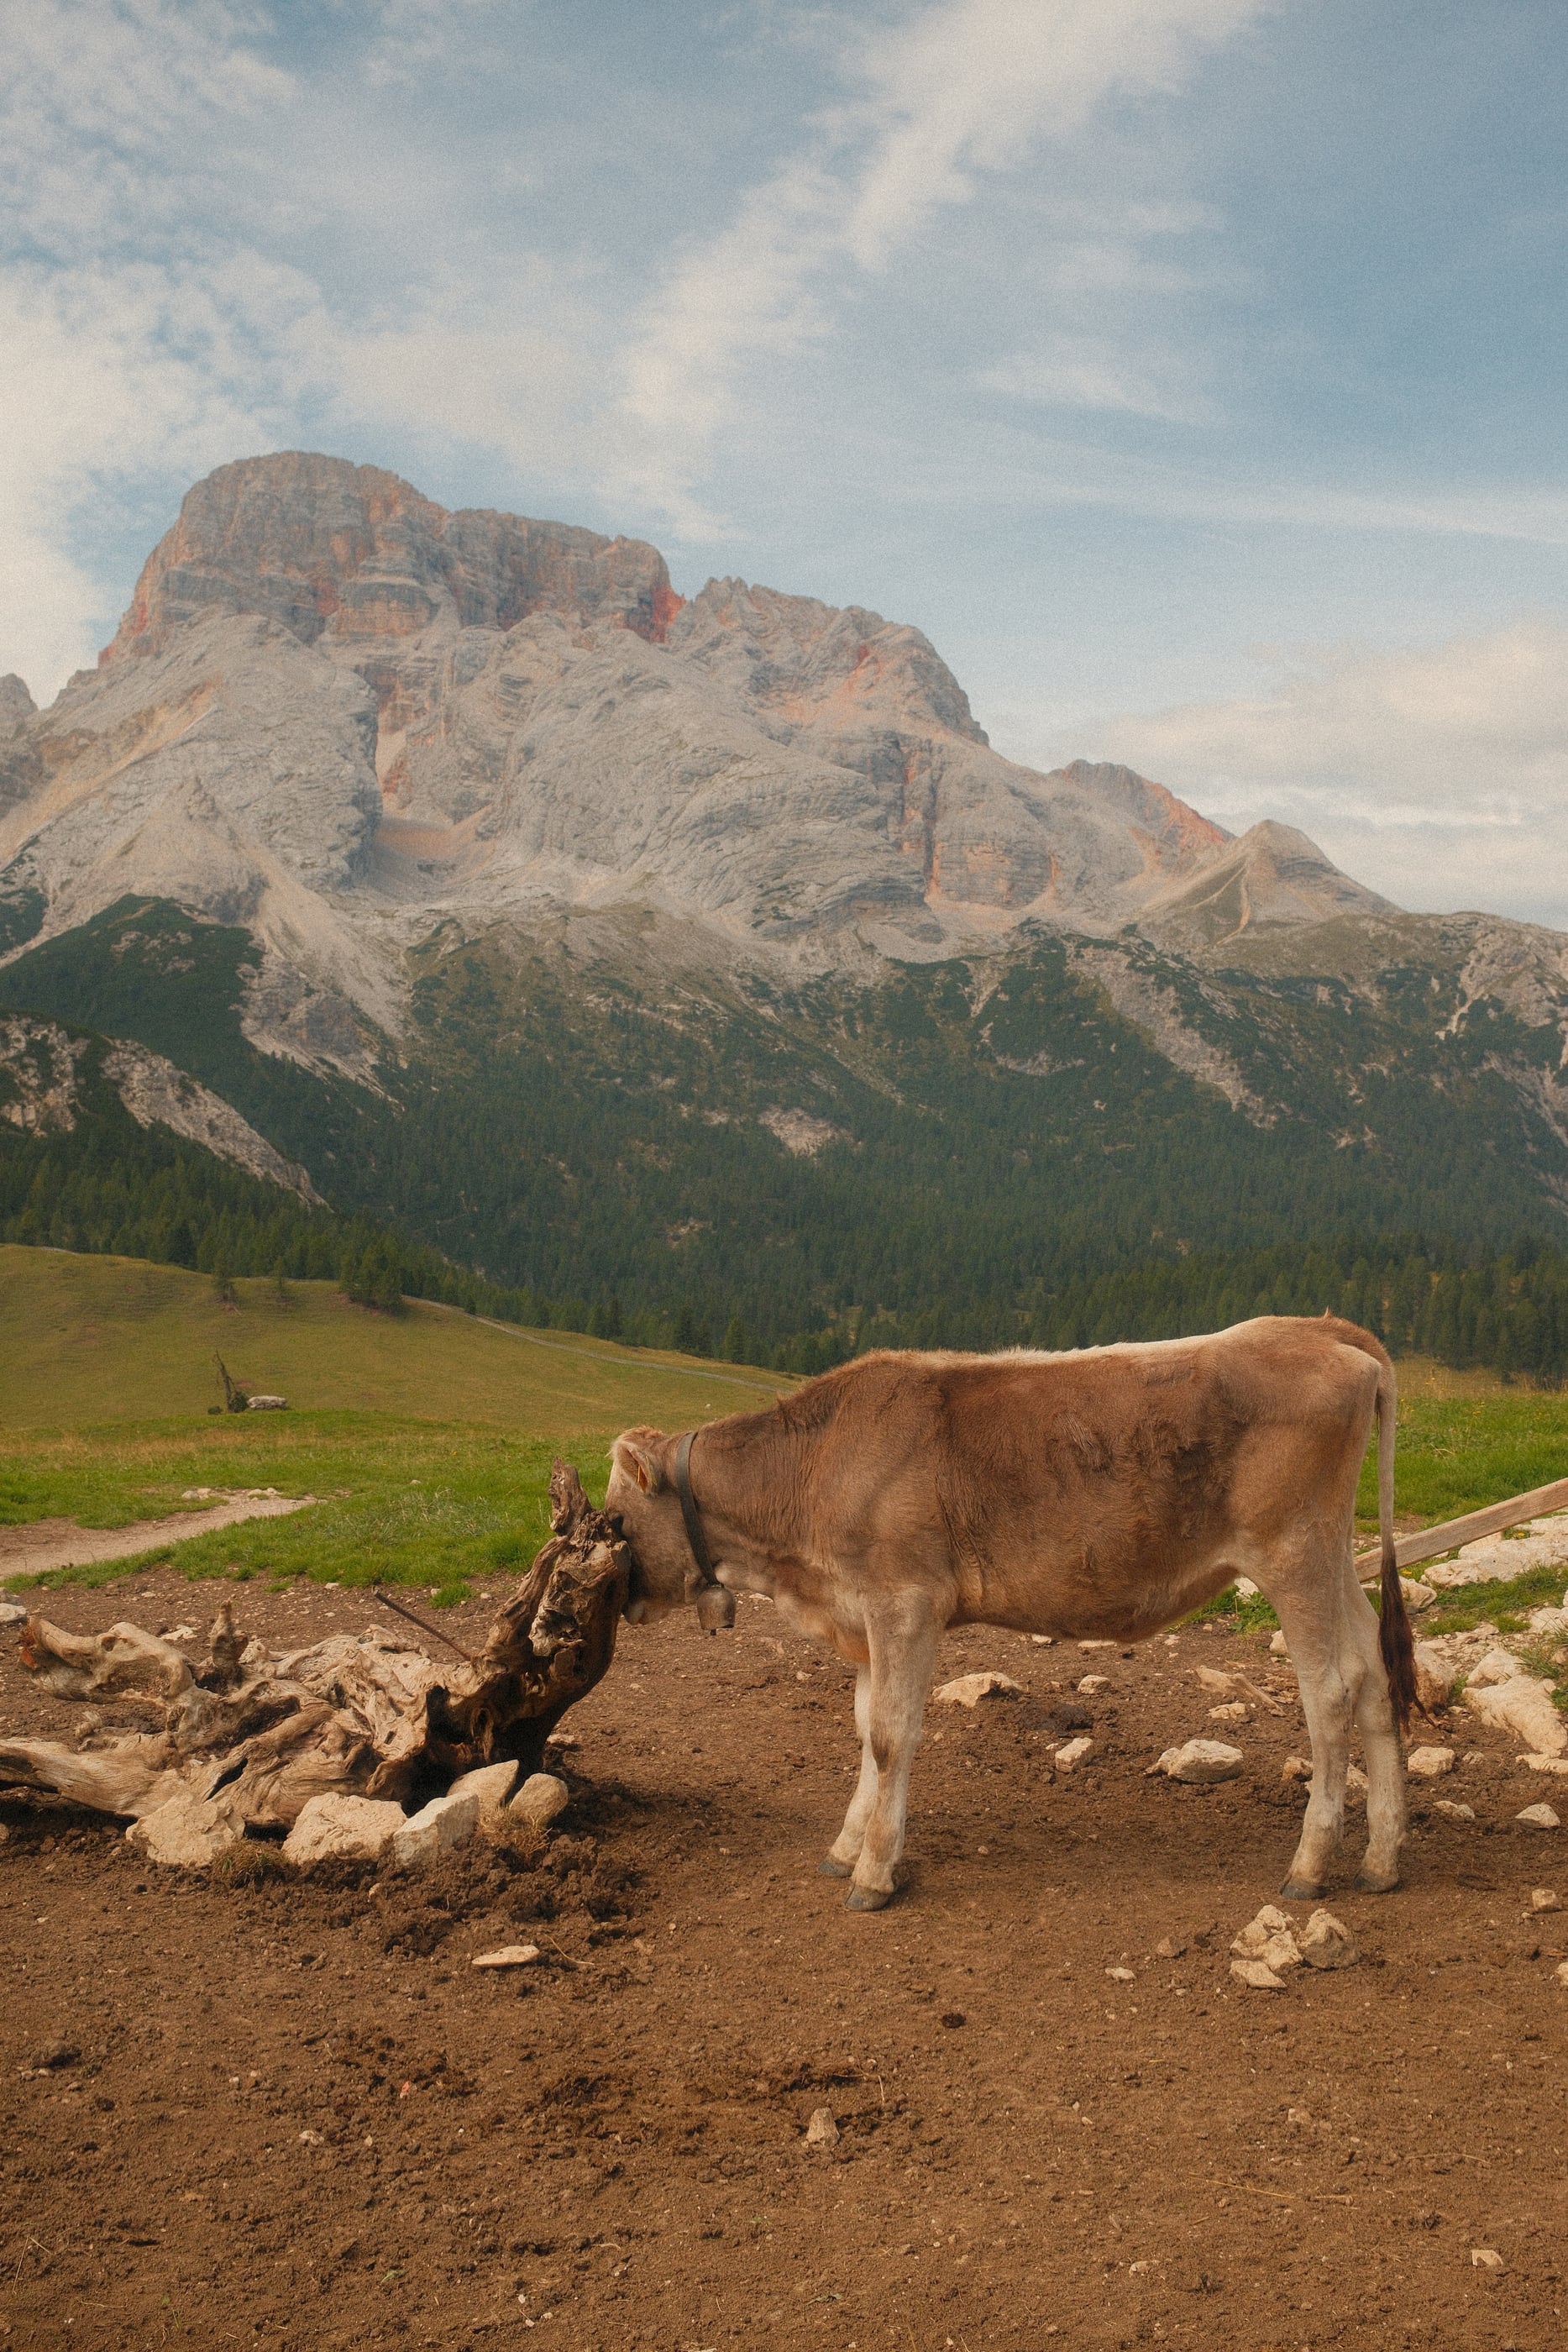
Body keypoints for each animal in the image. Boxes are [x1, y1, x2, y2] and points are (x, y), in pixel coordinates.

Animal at [605, 1316, 1416, 1913]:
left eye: (610, 1520)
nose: (621, 1599)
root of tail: (1317, 1327)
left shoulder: (905, 1603)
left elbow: (892, 1737)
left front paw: (874, 1875)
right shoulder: (863, 1618)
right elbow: (865, 1730)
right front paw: (845, 1849)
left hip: (1291, 1553)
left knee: (1330, 1692)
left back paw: (1309, 1866)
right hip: (1332, 1556)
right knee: (1375, 1679)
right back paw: (1381, 1860)